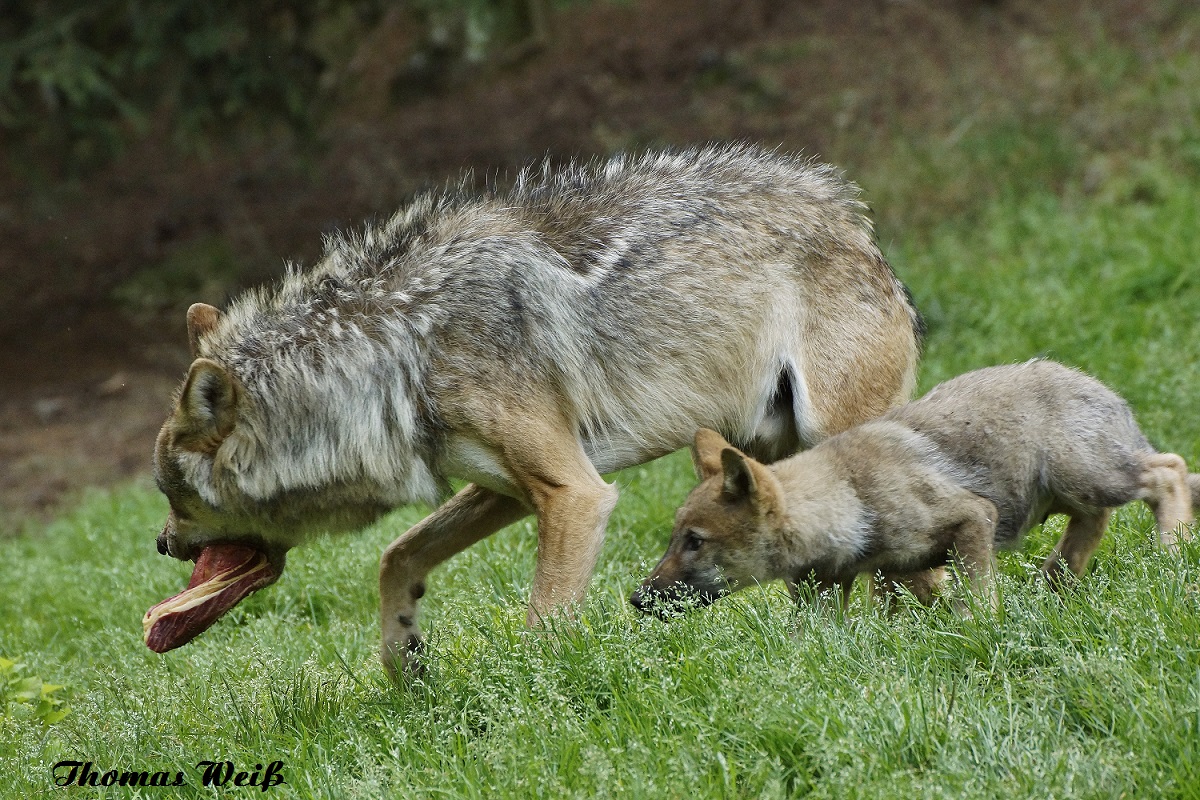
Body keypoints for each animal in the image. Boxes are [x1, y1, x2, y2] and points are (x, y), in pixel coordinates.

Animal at [145, 143, 921, 676]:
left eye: (175, 496)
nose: (160, 543)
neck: (397, 350)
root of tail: (855, 221)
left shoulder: (576, 492)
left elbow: (543, 626)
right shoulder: (511, 489)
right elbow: (397, 555)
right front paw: (404, 663)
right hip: (764, 469)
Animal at [633, 359, 1195, 618]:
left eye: (695, 541)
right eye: (674, 539)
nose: (636, 600)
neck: (851, 499)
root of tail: (1101, 386)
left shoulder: (973, 519)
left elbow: (976, 599)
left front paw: (979, 626)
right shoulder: (885, 573)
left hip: (1088, 477)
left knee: (1169, 469)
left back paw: (1173, 549)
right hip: (1073, 494)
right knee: (1092, 525)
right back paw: (1055, 580)